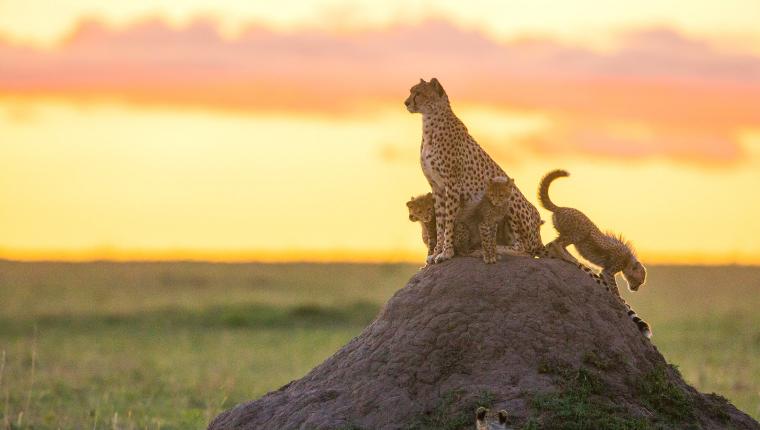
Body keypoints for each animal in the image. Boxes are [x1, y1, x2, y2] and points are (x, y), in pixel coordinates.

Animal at [406, 78, 544, 264]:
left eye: (419, 93)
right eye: (411, 91)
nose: (406, 102)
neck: (430, 125)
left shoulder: (452, 185)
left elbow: (449, 221)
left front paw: (447, 252)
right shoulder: (437, 187)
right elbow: (440, 222)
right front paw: (436, 252)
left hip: (511, 198)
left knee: (524, 249)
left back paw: (491, 249)